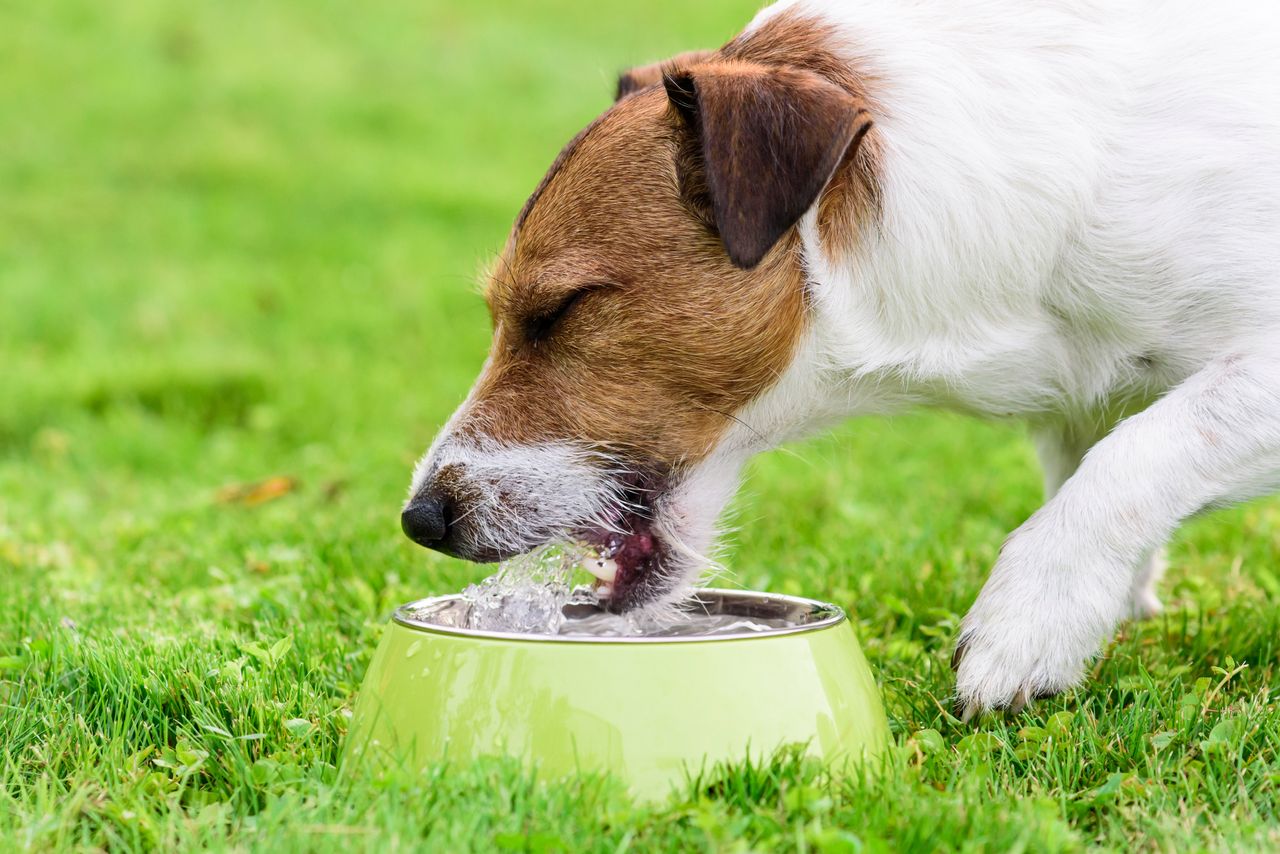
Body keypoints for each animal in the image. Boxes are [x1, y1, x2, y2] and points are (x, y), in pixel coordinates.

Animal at [404, 0, 1280, 717]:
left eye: (559, 309)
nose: (421, 519)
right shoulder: (1081, 401)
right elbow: (1092, 470)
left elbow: (1131, 460)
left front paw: (1026, 623)